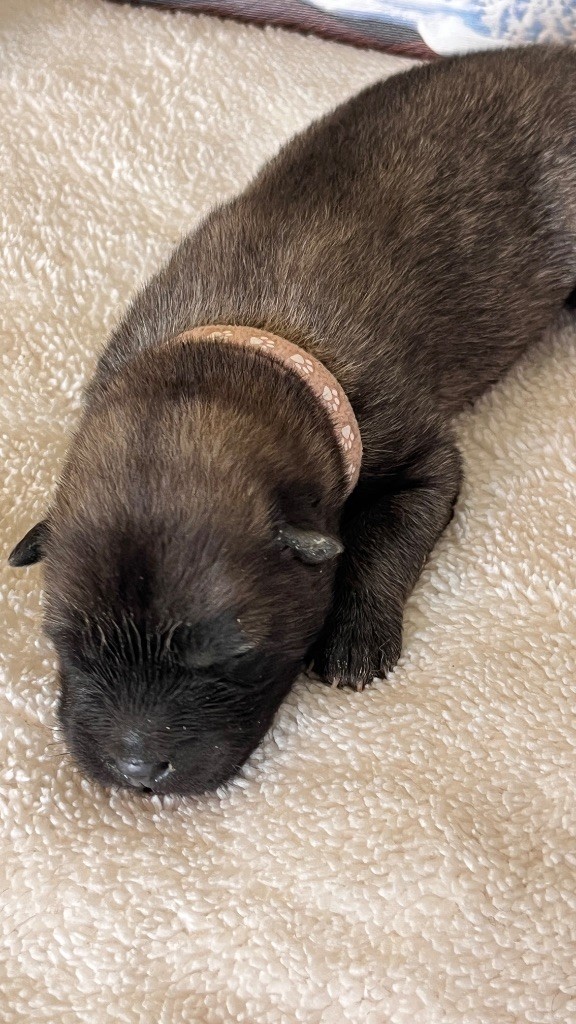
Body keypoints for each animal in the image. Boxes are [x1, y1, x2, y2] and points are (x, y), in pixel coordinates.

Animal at [9, 45, 576, 795]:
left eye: (229, 658)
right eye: (69, 645)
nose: (136, 771)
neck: (242, 346)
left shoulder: (419, 455)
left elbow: (387, 534)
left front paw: (355, 639)